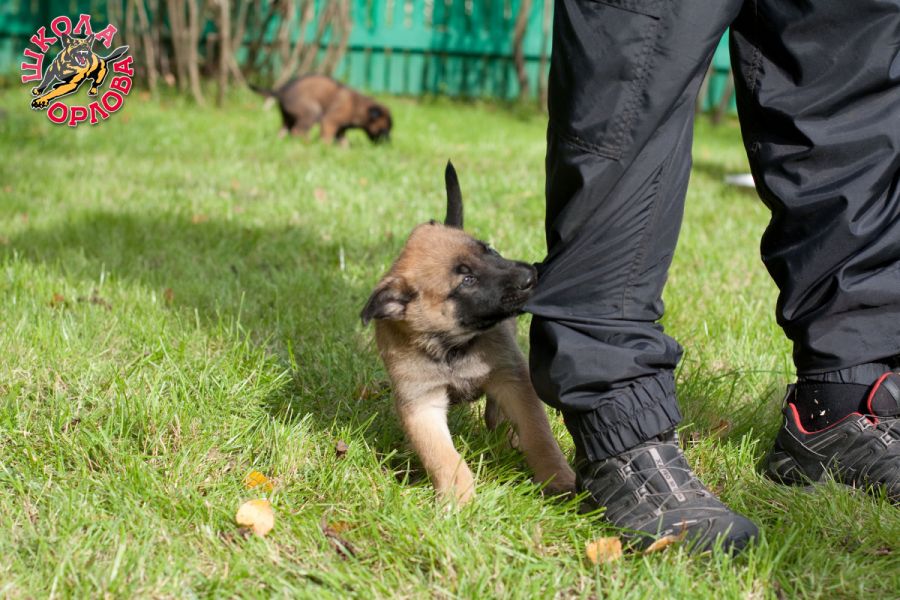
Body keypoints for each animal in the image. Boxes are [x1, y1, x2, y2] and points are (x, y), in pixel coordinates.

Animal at [250, 75, 392, 144]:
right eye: (384, 130)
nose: (389, 144)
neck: (358, 107)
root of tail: (282, 91)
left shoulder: (341, 128)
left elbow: (343, 140)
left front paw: (344, 150)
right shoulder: (330, 121)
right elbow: (327, 137)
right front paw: (325, 147)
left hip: (287, 118)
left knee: (284, 130)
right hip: (312, 112)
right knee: (297, 131)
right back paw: (307, 143)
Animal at [361, 162, 576, 504]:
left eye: (489, 250)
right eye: (467, 280)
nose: (530, 275)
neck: (451, 348)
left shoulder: (513, 381)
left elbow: (538, 434)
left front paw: (558, 478)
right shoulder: (421, 404)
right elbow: (442, 456)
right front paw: (458, 498)